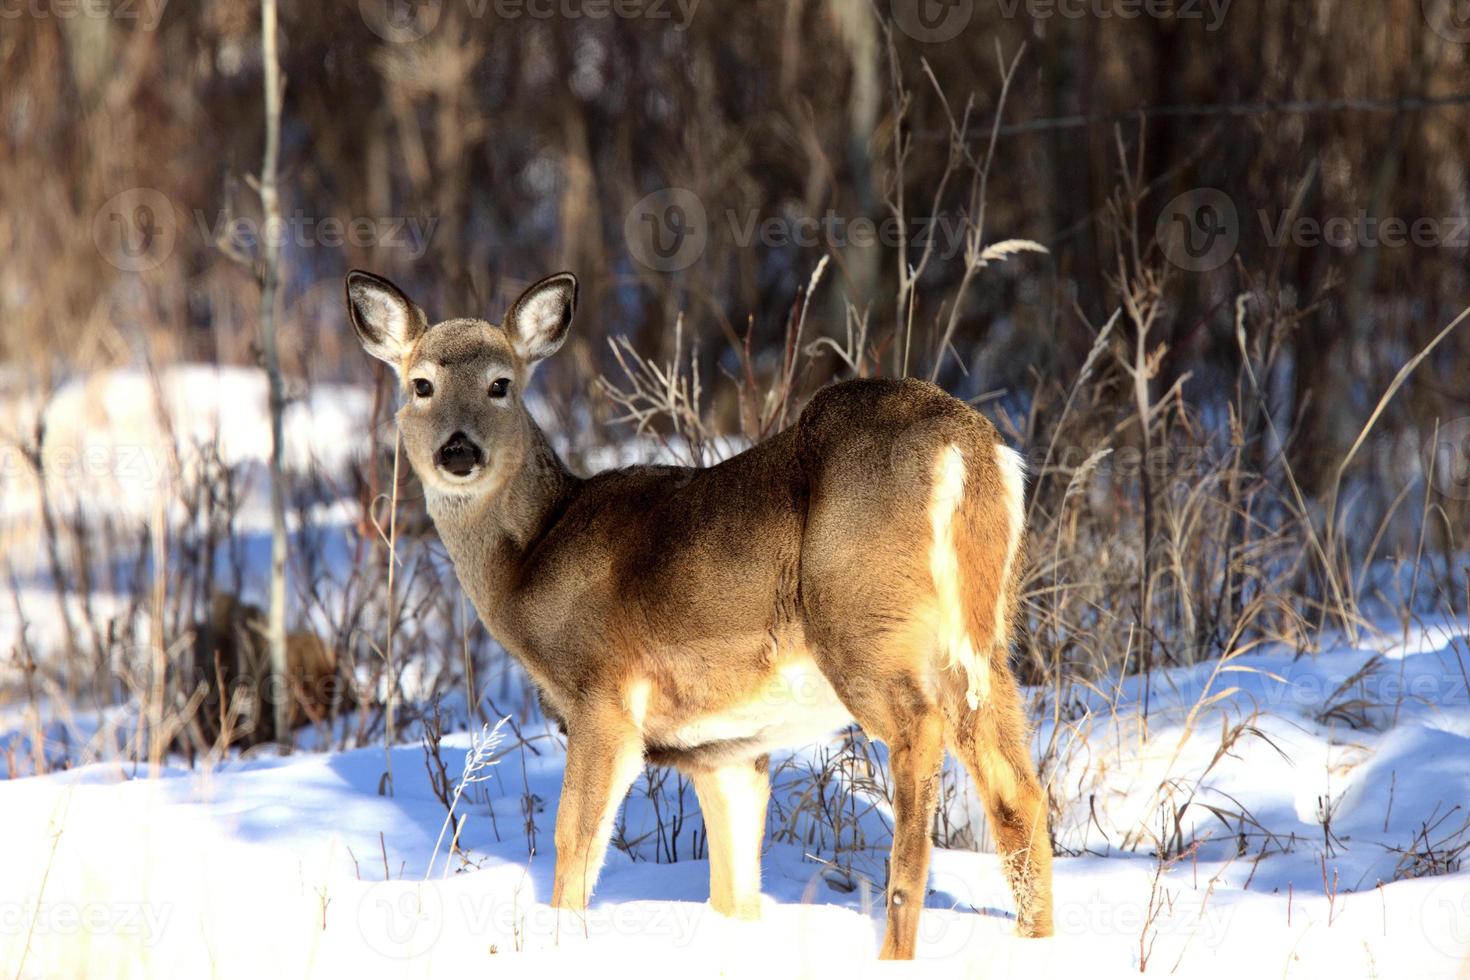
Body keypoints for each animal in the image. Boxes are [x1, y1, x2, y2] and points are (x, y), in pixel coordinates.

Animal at [348, 268, 1052, 957]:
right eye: (421, 385)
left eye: (500, 384)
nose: (458, 450)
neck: (534, 556)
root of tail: (970, 449)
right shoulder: (724, 750)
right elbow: (733, 891)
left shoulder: (601, 694)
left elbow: (574, 842)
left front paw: (560, 938)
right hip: (985, 641)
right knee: (1019, 790)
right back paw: (1036, 942)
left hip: (863, 620)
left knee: (919, 736)